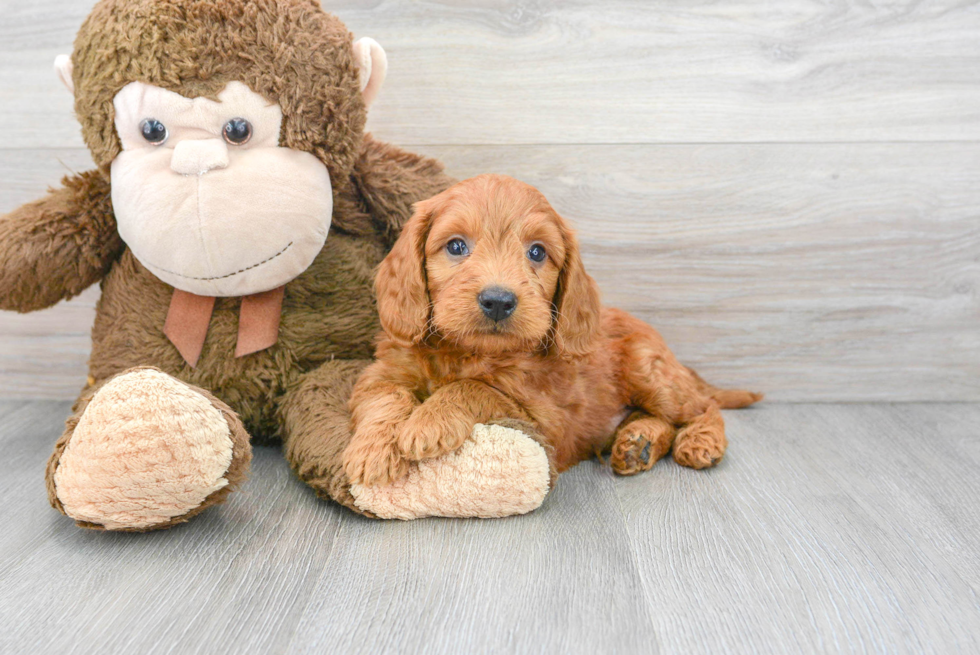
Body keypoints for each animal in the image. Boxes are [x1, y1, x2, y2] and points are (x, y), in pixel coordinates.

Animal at [346, 174, 764, 486]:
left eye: (537, 252)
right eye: (456, 246)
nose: (498, 300)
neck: (468, 352)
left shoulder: (544, 421)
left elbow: (475, 388)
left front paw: (429, 420)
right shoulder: (382, 372)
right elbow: (387, 397)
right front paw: (372, 452)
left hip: (648, 370)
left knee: (703, 406)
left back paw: (700, 440)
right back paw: (638, 442)